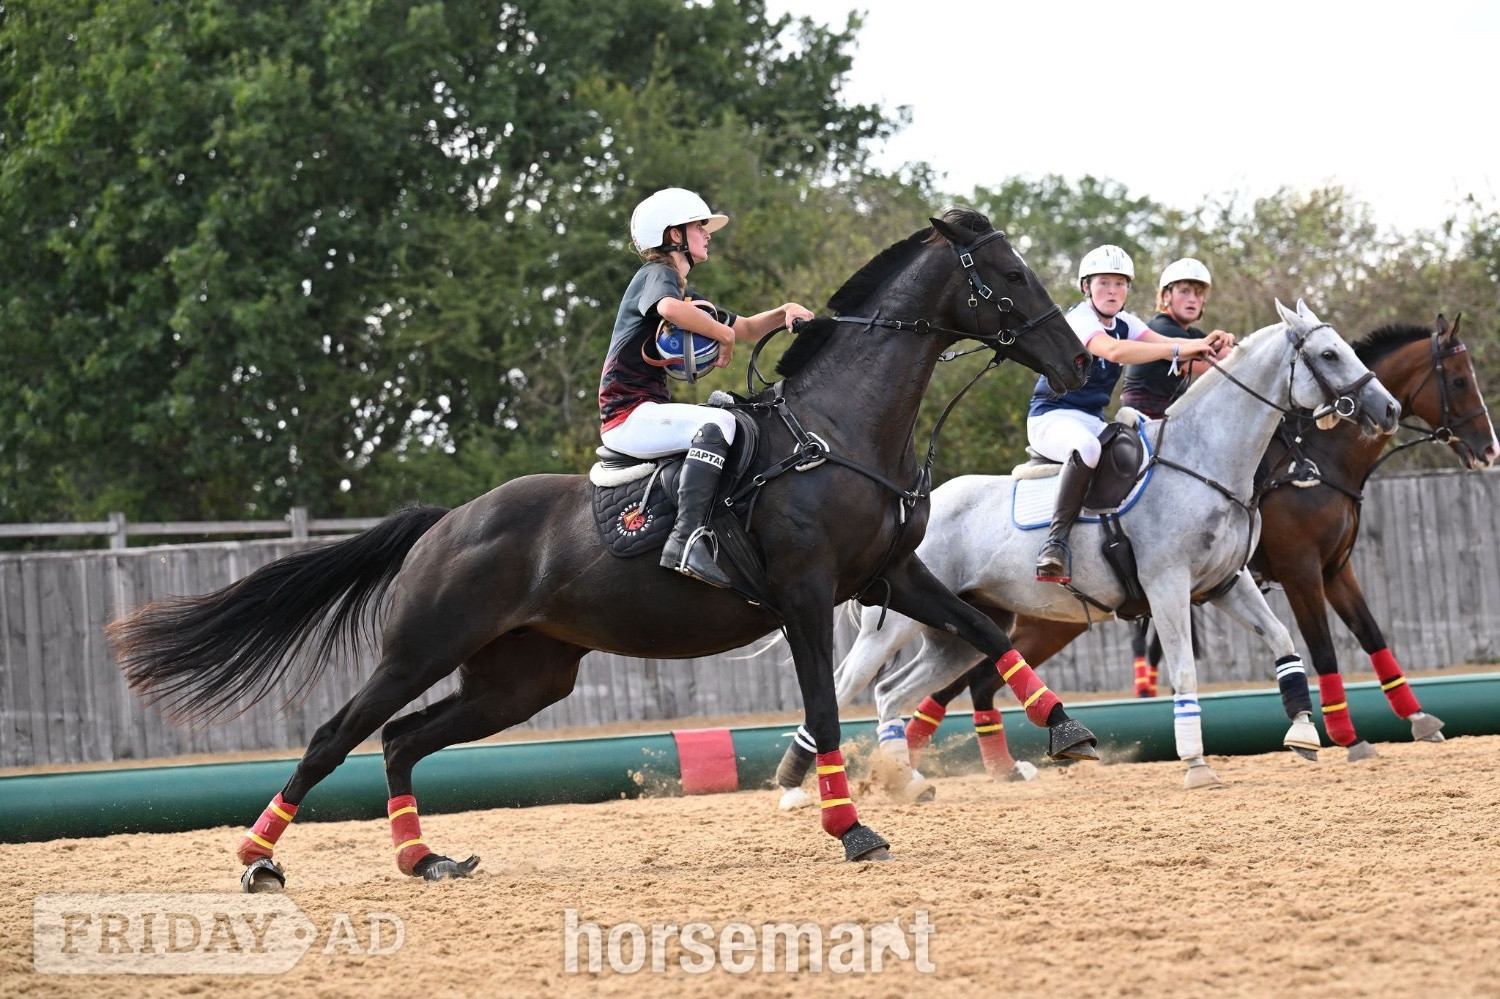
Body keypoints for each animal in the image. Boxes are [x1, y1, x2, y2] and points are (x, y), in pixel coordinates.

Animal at [105, 207, 1097, 891]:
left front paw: (1068, 731)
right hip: (421, 645)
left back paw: (423, 859)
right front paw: (849, 826)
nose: (1077, 363)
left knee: (400, 737)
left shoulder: (893, 575)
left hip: (523, 677)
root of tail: (446, 522)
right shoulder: (808, 596)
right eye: (1008, 272)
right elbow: (822, 700)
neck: (840, 428)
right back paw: (256, 856)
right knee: (335, 735)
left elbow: (984, 630)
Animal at [772, 299, 1400, 803]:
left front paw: (1302, 731)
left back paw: (907, 779)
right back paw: (800, 789)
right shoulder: (1169, 584)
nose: (1390, 410)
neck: (1205, 461)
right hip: (896, 623)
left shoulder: (1227, 583)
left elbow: (1283, 641)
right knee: (849, 684)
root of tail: (910, 509)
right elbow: (1185, 670)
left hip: (962, 631)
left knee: (894, 691)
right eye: (1329, 353)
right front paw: (1196, 763)